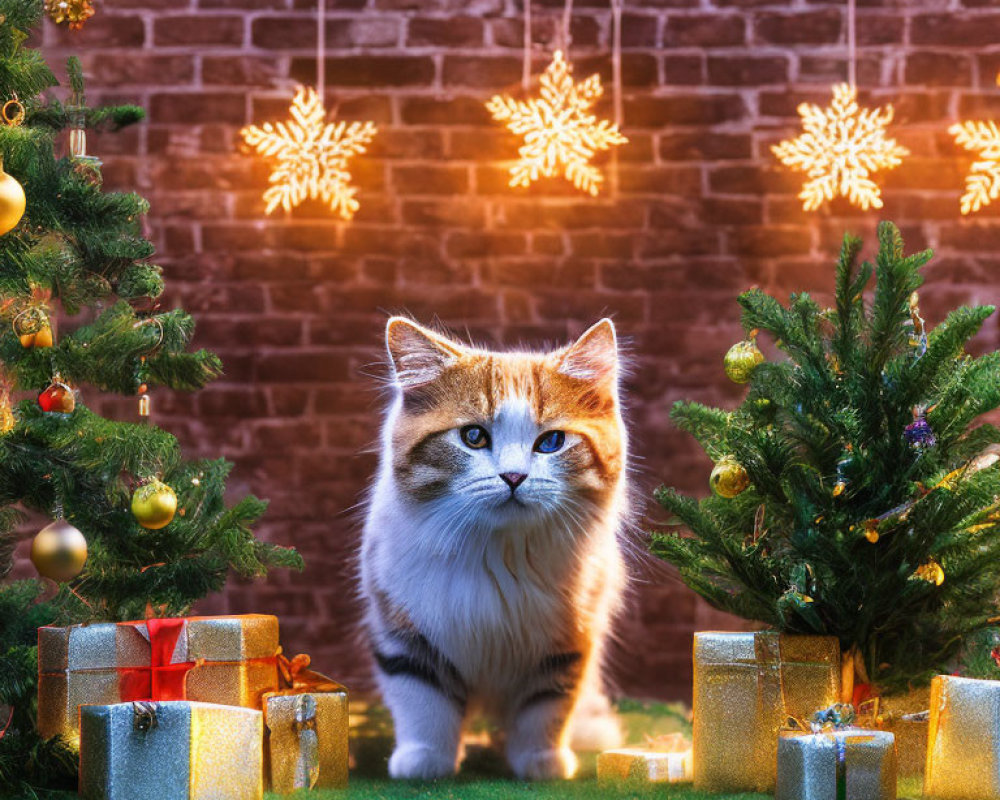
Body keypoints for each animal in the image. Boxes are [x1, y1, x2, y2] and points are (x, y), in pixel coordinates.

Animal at [360, 318, 624, 780]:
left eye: (552, 442)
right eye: (473, 437)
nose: (514, 477)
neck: (499, 555)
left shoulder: (568, 639)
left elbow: (545, 709)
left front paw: (541, 763)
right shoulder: (403, 626)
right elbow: (423, 701)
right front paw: (425, 761)